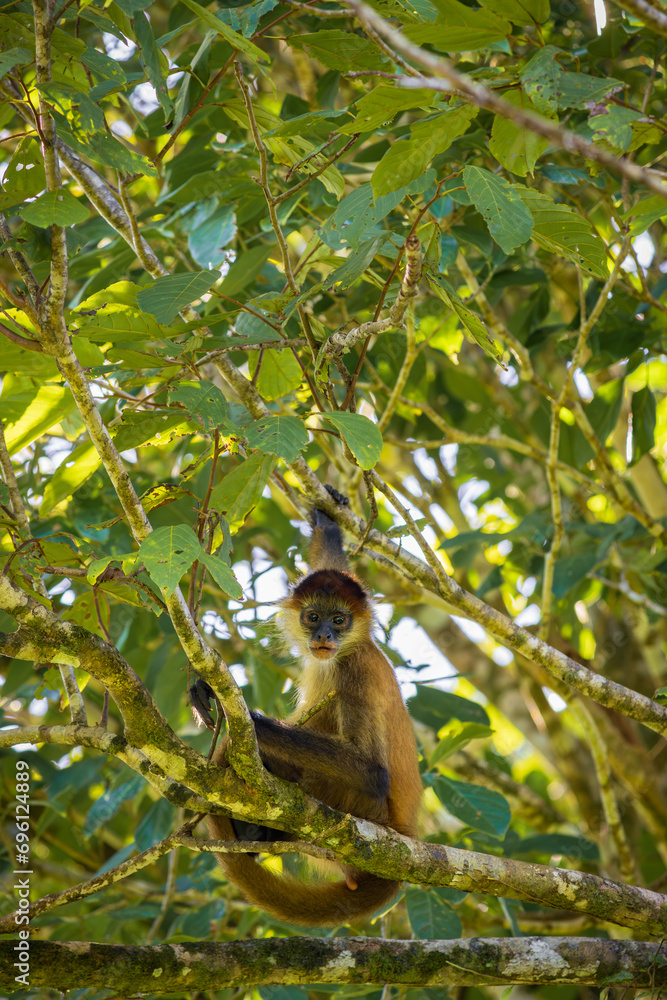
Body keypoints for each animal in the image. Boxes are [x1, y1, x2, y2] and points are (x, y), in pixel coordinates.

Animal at [191, 490, 422, 927]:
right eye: (313, 617)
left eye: (339, 620)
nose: (324, 635)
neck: (344, 652)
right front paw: (327, 522)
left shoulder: (355, 671)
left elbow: (373, 773)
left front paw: (248, 720)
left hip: (360, 811)